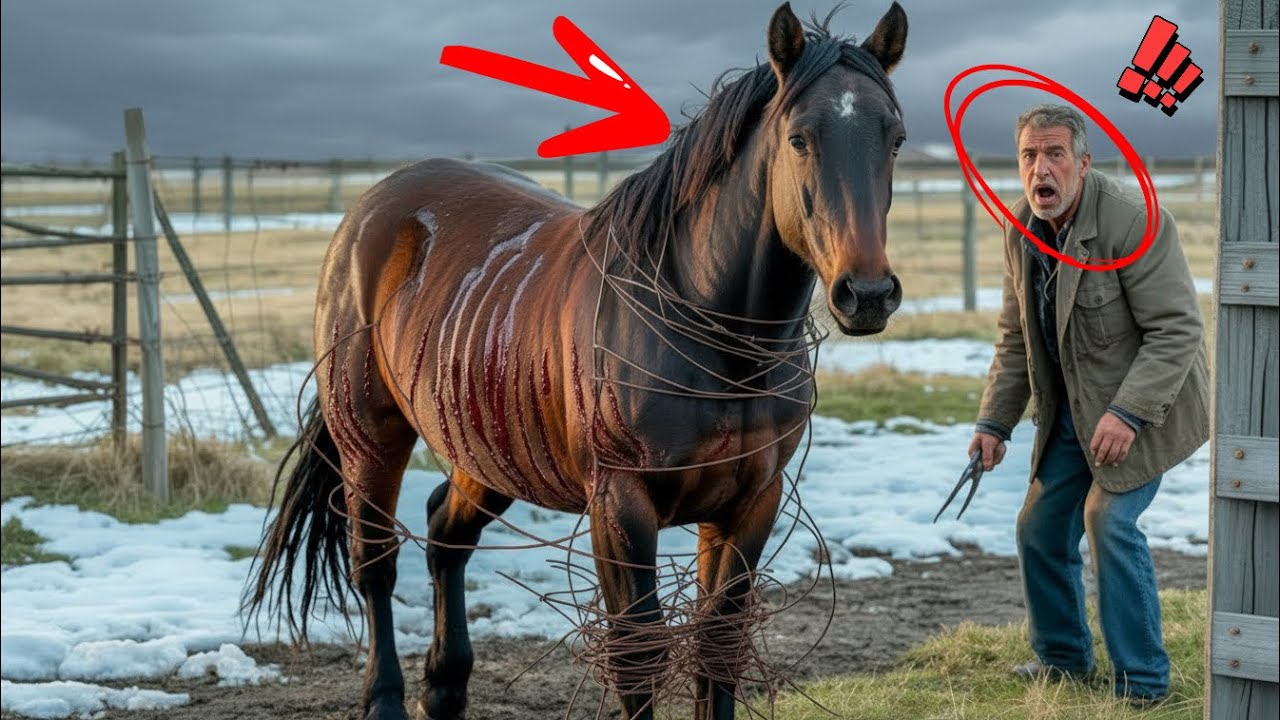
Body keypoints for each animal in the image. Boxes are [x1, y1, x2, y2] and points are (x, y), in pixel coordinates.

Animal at [247, 3, 907, 718]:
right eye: (799, 138)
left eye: (896, 138)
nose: (868, 294)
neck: (715, 339)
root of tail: (370, 210)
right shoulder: (620, 505)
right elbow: (638, 654)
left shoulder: (751, 500)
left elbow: (718, 649)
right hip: (370, 436)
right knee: (374, 562)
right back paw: (387, 698)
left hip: (491, 448)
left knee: (446, 533)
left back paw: (445, 686)